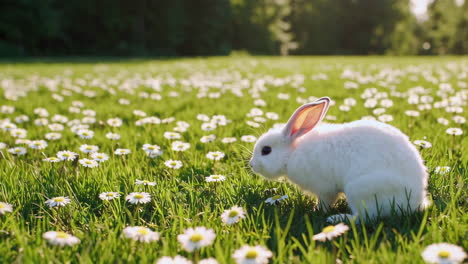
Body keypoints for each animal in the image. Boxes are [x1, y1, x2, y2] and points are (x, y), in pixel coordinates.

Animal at [250, 97, 430, 223]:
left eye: (266, 150)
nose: (252, 164)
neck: (292, 152)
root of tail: (416, 202)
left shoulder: (324, 189)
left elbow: (325, 201)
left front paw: (316, 210)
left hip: (361, 190)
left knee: (364, 217)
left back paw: (336, 219)